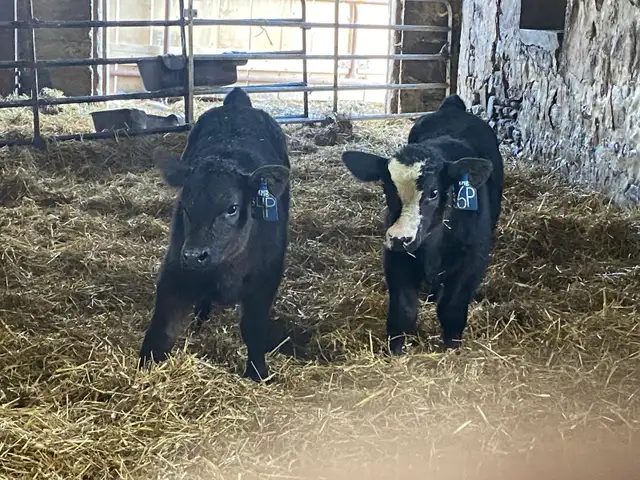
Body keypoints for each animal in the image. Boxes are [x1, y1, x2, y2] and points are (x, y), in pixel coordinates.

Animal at [139, 87, 291, 382]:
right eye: (184, 207)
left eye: (232, 207)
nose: (194, 254)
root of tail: (236, 105)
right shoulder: (174, 269)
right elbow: (163, 327)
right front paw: (145, 367)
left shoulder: (266, 279)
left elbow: (253, 328)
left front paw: (258, 372)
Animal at [341, 94, 504, 354]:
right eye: (387, 189)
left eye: (433, 192)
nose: (400, 237)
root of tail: (452, 107)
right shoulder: (395, 257)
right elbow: (403, 311)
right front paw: (396, 350)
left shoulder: (472, 261)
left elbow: (451, 308)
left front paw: (451, 348)